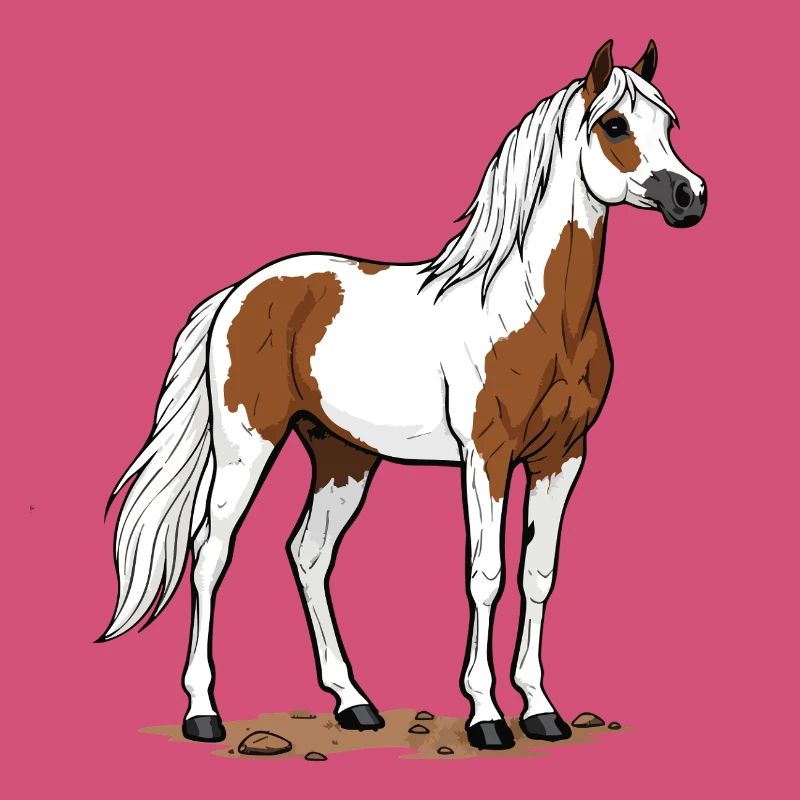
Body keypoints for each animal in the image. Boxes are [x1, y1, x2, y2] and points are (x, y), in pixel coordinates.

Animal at [101, 40, 706, 751]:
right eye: (614, 125)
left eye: (669, 124)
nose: (690, 197)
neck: (535, 312)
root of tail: (239, 292)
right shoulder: (486, 456)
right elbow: (485, 575)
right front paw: (486, 716)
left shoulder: (562, 456)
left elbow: (538, 574)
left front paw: (541, 710)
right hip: (246, 445)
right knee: (210, 555)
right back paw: (203, 713)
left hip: (343, 457)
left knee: (308, 554)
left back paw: (353, 703)